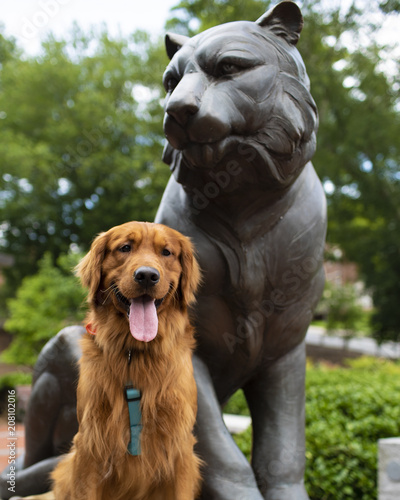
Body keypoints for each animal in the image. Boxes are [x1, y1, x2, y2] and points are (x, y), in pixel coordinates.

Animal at [50, 221, 202, 498]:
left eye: (166, 252)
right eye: (125, 248)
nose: (147, 276)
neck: (135, 353)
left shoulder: (181, 446)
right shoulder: (90, 443)